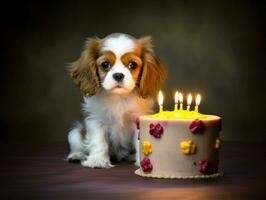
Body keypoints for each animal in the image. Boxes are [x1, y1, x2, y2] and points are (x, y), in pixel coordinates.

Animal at [67, 33, 166, 168]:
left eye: (132, 65)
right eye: (105, 64)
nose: (118, 75)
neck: (119, 97)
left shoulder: (138, 119)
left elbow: (140, 141)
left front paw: (142, 162)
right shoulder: (96, 120)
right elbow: (99, 141)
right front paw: (98, 160)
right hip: (76, 132)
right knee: (77, 143)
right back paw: (76, 155)